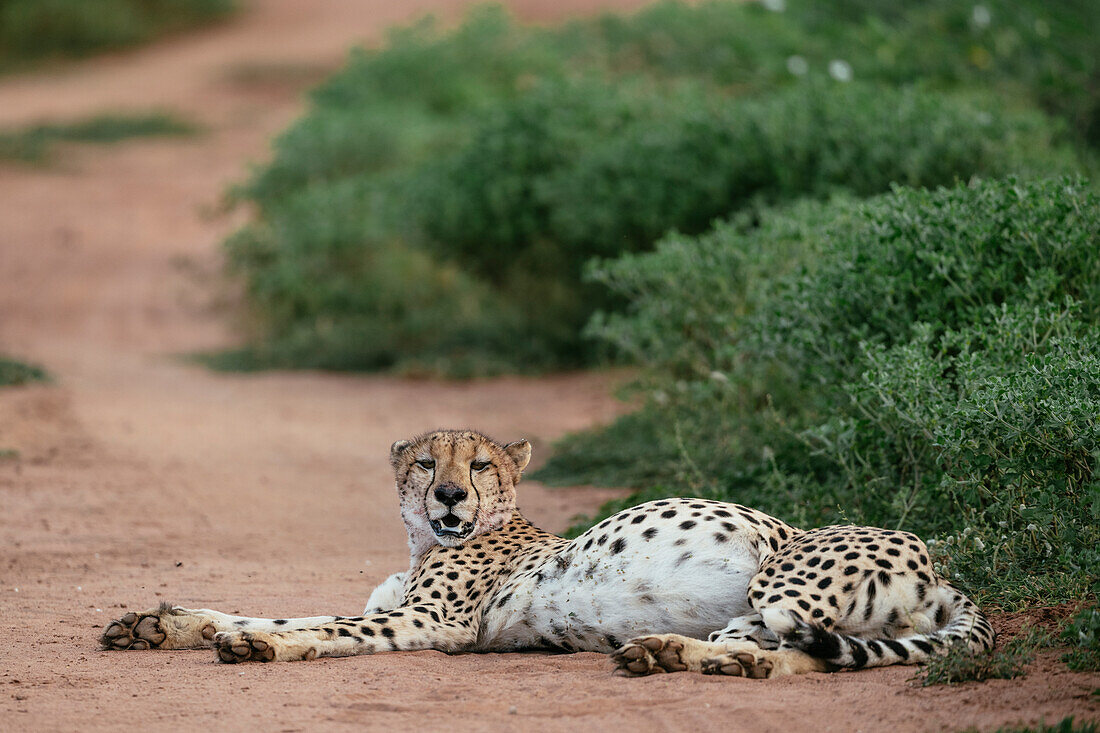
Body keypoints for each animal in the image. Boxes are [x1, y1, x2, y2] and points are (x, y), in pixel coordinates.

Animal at [101, 424, 998, 677]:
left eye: (479, 464)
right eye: (426, 461)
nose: (448, 495)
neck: (424, 540)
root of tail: (939, 564)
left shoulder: (435, 625)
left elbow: (320, 628)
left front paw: (257, 644)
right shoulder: (402, 605)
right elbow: (272, 607)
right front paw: (163, 622)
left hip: (779, 582)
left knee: (802, 649)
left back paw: (680, 656)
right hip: (766, 608)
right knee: (787, 655)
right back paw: (670, 653)